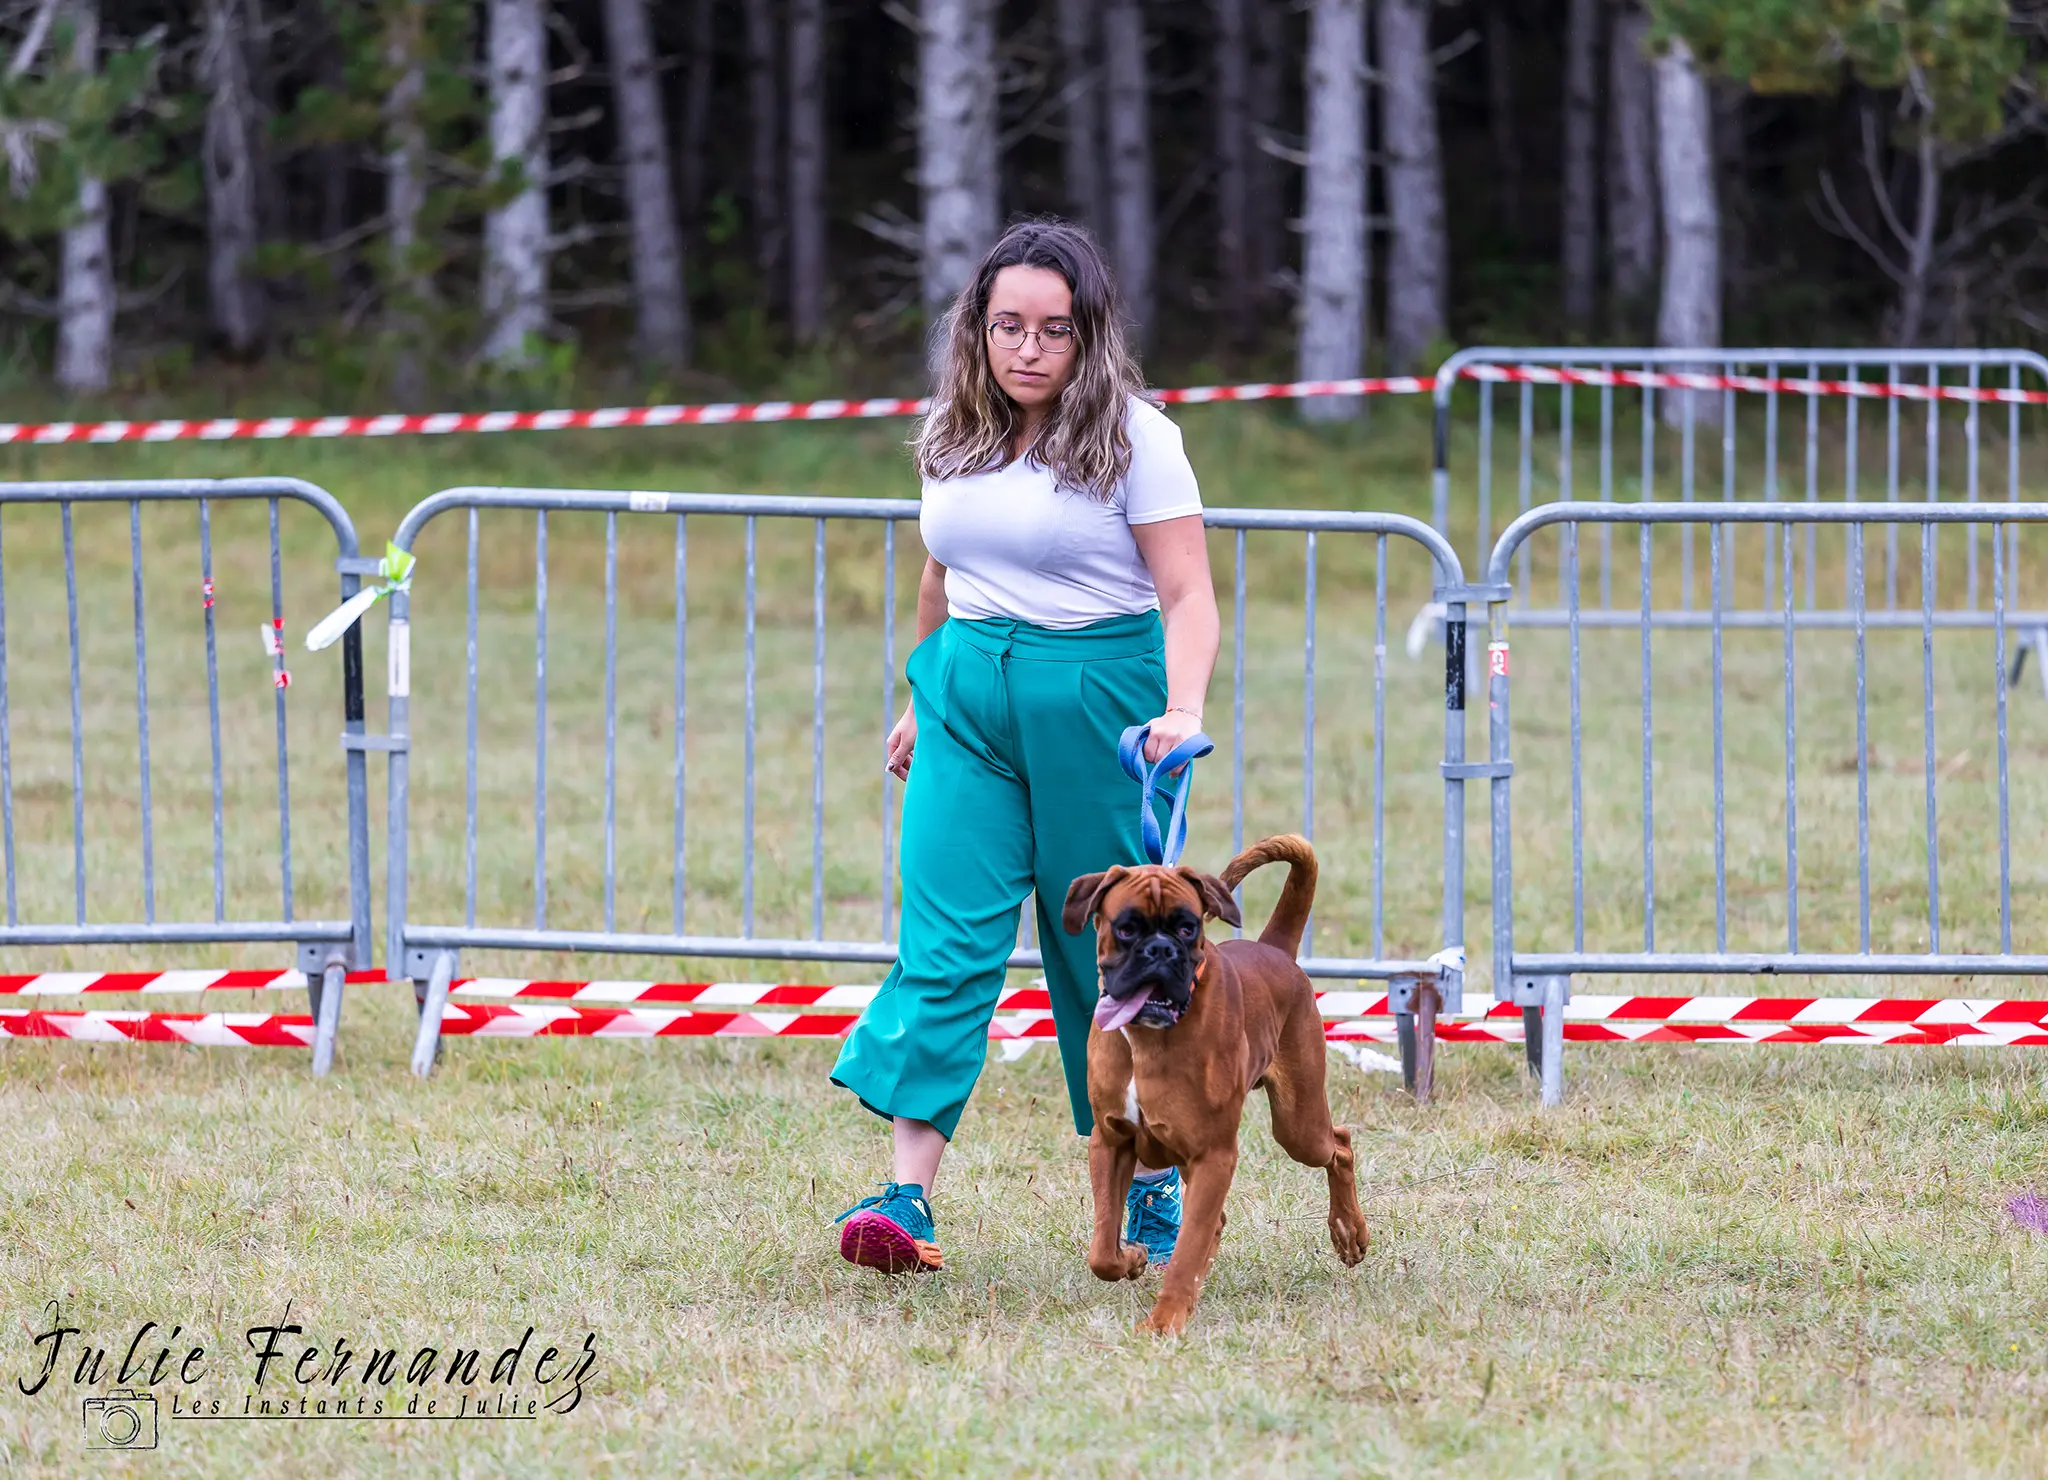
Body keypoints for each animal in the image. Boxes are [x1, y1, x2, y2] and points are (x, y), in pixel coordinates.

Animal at [1064, 835, 1368, 1342]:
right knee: (1214, 1222)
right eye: (1127, 929)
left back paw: (1349, 1233)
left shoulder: (1214, 1155)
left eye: (1188, 928)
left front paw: (1164, 1321)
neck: (1149, 1036)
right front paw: (1133, 1258)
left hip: (1298, 1127)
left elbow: (1185, 1249)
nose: (1161, 950)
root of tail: (1274, 949)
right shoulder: (1111, 1142)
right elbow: (1103, 1248)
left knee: (1339, 1145)